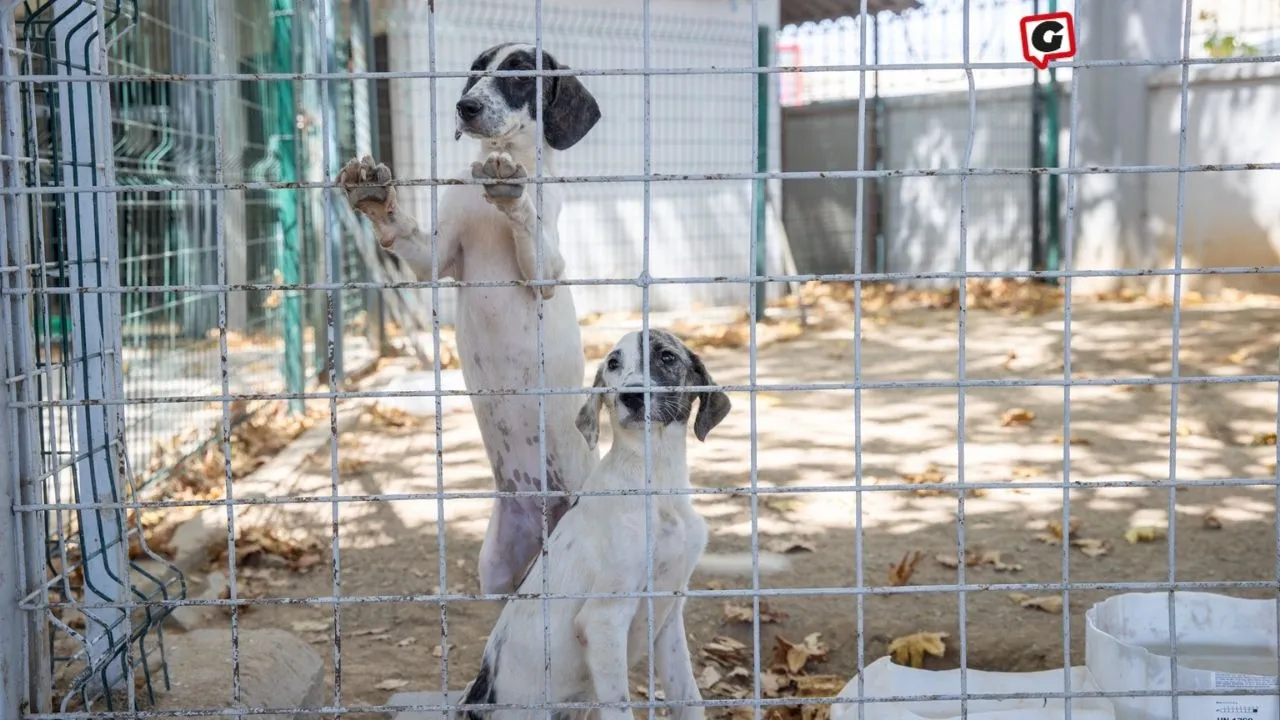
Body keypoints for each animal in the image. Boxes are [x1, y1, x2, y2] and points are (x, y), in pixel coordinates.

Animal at [337, 44, 601, 594]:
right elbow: (404, 234)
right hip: (496, 567)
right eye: (476, 72)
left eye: (520, 73)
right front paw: (375, 196)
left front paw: (512, 193)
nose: (466, 106)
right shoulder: (433, 258)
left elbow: (530, 228)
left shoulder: (547, 272)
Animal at [460, 327, 742, 712]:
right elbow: (621, 706)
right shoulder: (603, 619)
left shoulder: (670, 615)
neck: (656, 480)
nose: (631, 396)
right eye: (613, 364)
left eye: (666, 356)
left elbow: (689, 699)